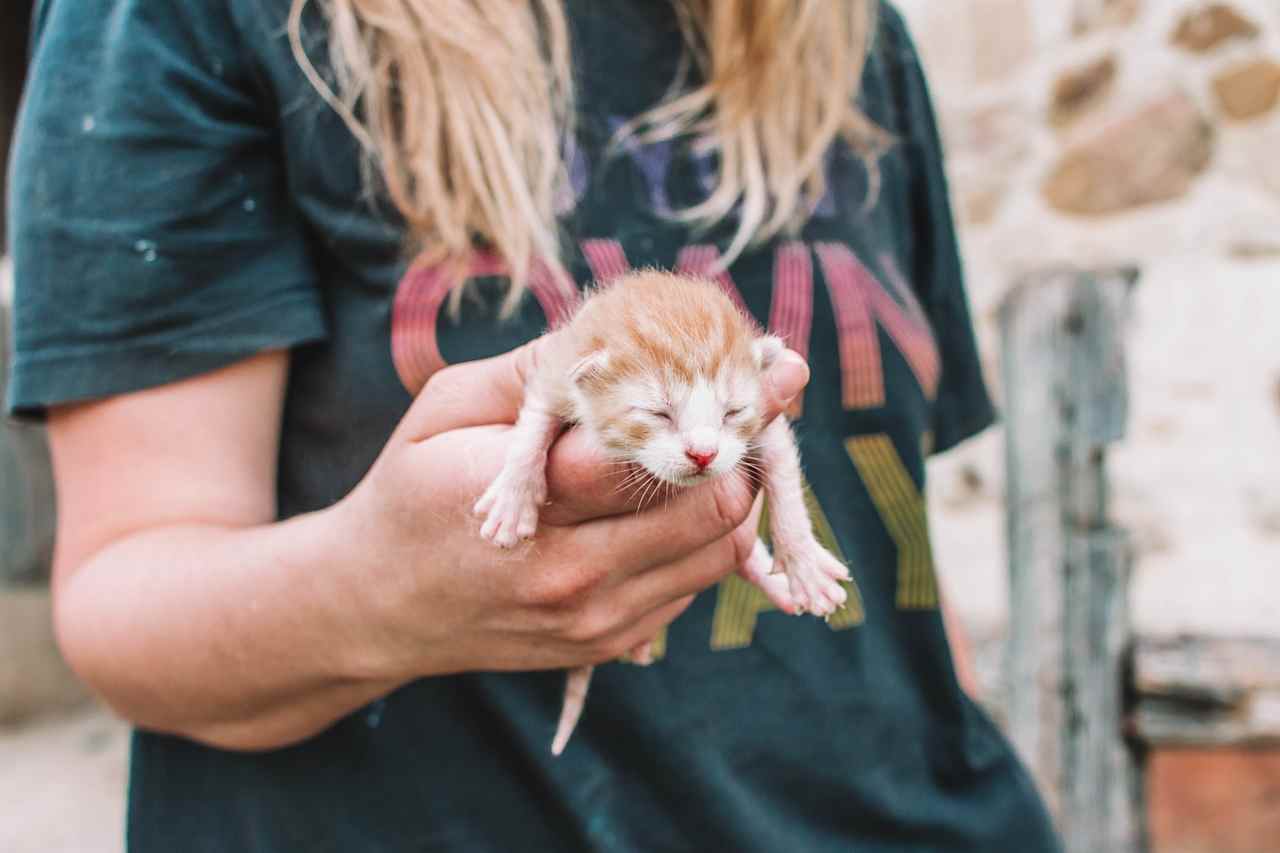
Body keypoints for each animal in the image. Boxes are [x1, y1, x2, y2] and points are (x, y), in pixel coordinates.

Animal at [473, 270, 849, 753]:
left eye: (731, 412)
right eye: (659, 413)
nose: (704, 454)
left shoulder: (767, 417)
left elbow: (783, 474)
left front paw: (804, 563)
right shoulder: (555, 367)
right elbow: (533, 424)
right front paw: (514, 496)